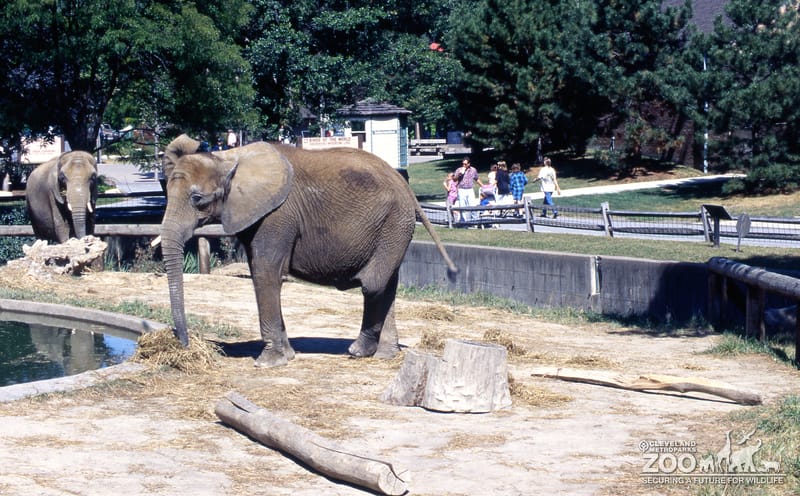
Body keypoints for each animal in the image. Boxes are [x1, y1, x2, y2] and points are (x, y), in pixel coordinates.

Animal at [161, 135, 458, 367]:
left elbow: (266, 273)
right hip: (394, 228)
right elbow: (262, 272)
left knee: (373, 284)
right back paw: (384, 355)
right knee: (388, 284)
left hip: (394, 223)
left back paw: (358, 351)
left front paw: (269, 362)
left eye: (197, 199)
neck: (227, 158)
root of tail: (407, 187)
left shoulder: (278, 215)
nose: (184, 343)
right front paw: (287, 355)